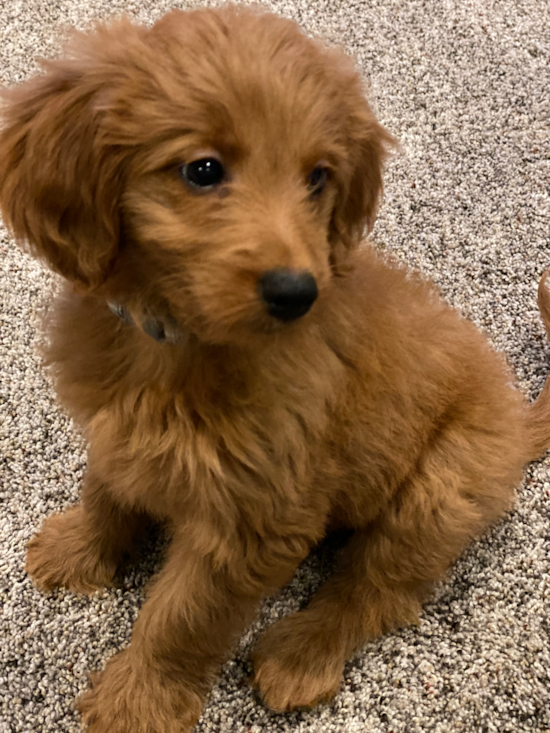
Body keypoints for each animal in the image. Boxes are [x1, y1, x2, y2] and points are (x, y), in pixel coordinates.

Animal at [1, 7, 550, 732]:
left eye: (318, 177)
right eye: (203, 169)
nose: (298, 293)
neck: (173, 340)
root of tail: (517, 420)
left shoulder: (253, 522)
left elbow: (181, 618)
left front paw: (139, 701)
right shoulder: (119, 432)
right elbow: (106, 490)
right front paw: (79, 551)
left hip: (440, 489)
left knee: (374, 589)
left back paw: (303, 652)